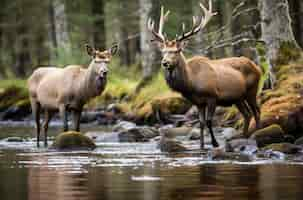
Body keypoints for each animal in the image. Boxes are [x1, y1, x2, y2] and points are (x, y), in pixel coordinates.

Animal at [148, 0, 262, 148]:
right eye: (163, 52)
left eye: (176, 51)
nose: (165, 63)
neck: (191, 84)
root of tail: (257, 67)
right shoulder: (198, 102)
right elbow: (201, 123)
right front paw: (201, 145)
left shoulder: (212, 96)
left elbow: (208, 121)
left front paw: (215, 143)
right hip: (238, 97)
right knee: (247, 114)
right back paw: (244, 136)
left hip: (252, 90)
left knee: (257, 111)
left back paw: (257, 134)